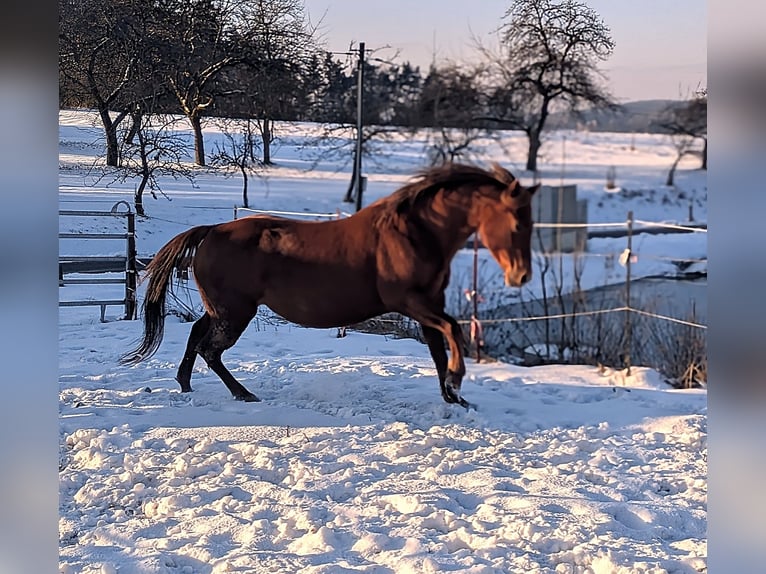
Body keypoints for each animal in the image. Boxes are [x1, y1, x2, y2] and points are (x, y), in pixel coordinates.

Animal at [120, 162, 538, 408]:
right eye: (517, 222)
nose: (521, 276)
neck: (415, 233)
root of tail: (211, 231)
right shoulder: (410, 301)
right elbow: (453, 331)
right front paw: (457, 381)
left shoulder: (429, 304)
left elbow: (439, 347)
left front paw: (453, 398)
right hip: (235, 313)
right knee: (210, 350)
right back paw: (244, 394)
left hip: (224, 309)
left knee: (196, 335)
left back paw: (185, 384)